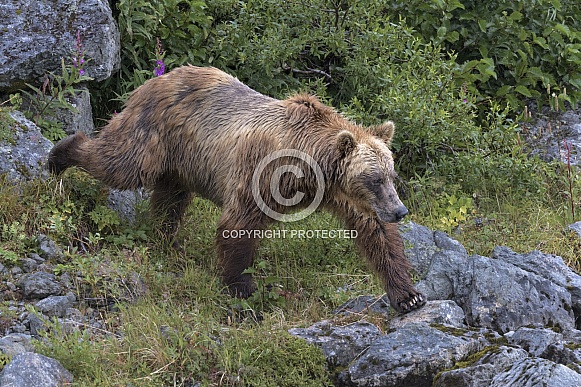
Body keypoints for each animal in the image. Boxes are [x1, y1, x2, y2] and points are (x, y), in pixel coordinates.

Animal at [47, 65, 424, 314]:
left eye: (391, 175)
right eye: (375, 178)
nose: (399, 210)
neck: (312, 169)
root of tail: (156, 79)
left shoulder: (342, 195)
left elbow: (375, 232)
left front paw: (408, 295)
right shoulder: (264, 173)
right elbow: (239, 223)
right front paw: (240, 284)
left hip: (182, 160)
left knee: (170, 198)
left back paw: (165, 237)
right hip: (154, 134)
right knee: (122, 164)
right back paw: (60, 154)